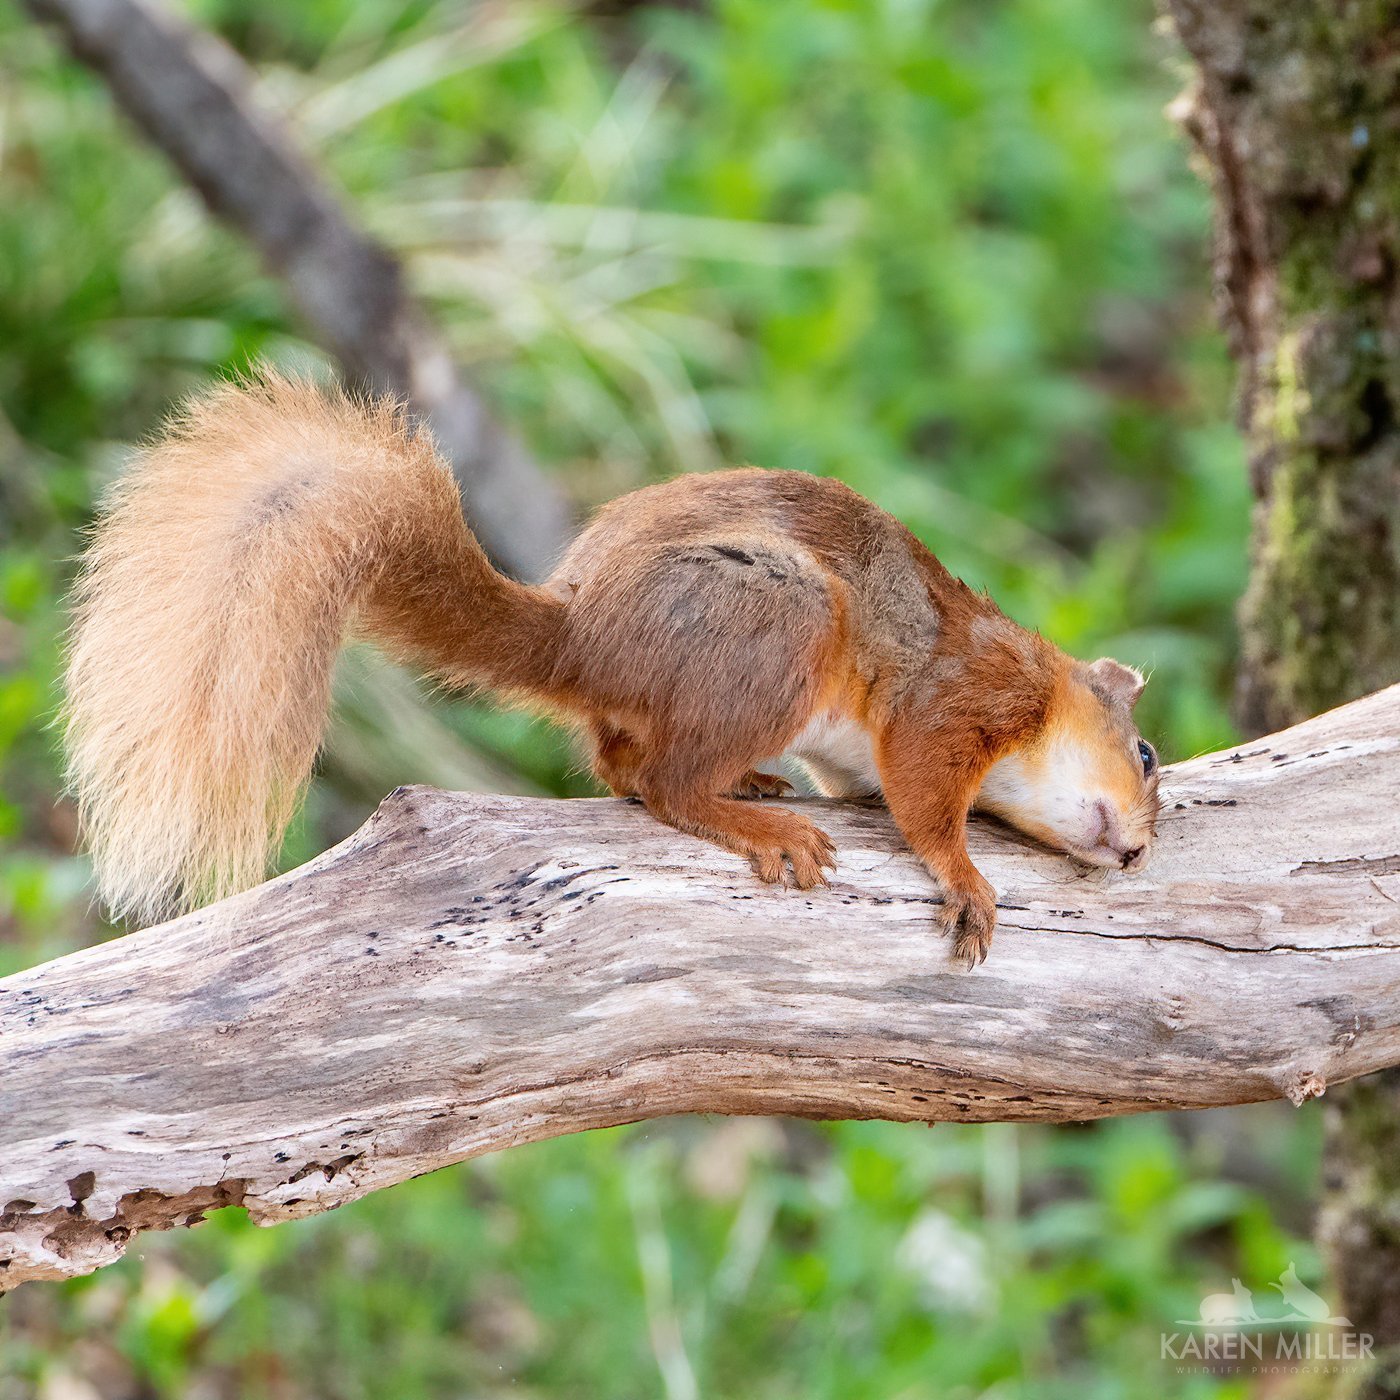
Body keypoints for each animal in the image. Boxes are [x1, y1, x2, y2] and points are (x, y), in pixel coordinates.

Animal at [63, 372, 1159, 963]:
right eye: (1145, 755)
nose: (1141, 853)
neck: (1046, 695)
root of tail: (585, 633)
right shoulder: (964, 695)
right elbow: (926, 796)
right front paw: (967, 878)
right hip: (782, 618)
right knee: (660, 782)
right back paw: (755, 818)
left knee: (620, 764)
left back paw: (757, 783)